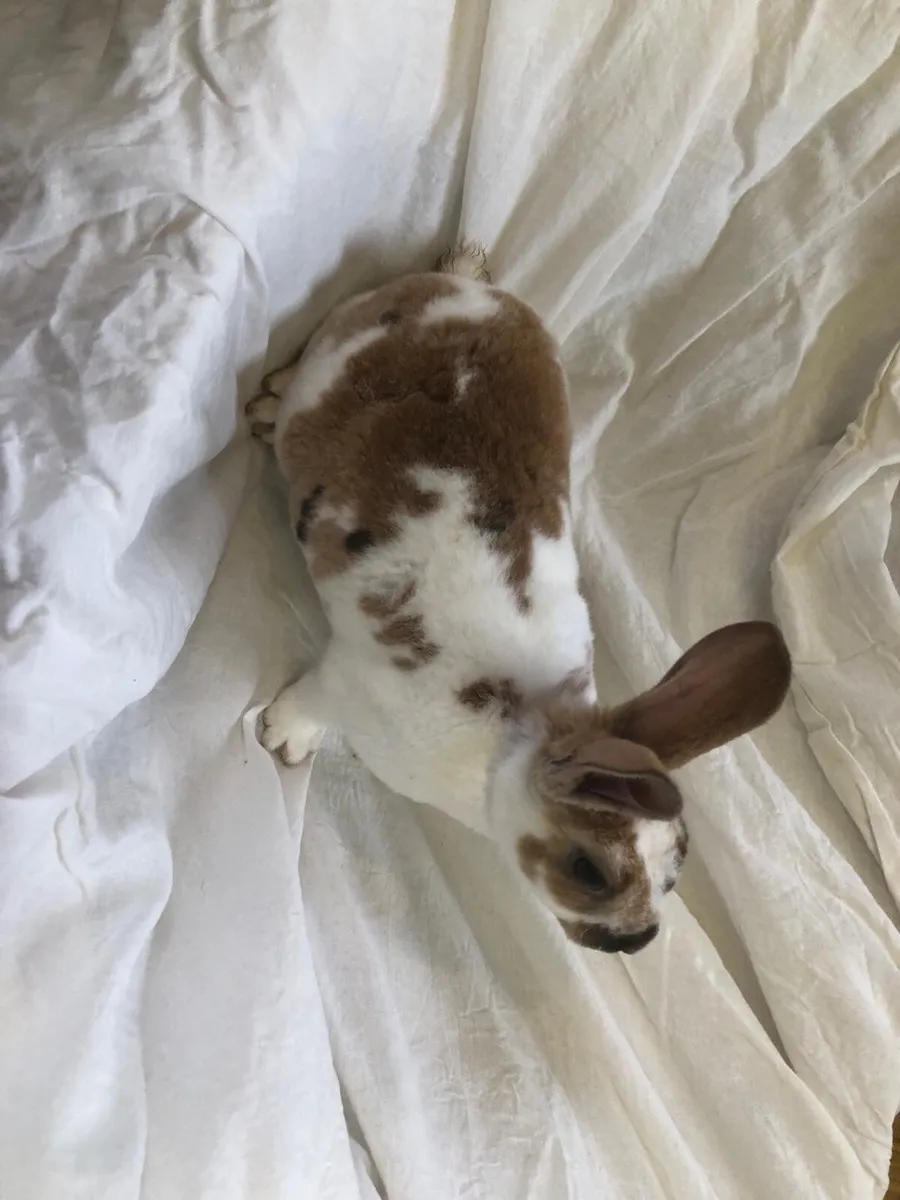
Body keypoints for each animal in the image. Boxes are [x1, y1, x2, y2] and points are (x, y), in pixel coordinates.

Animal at [246, 243, 791, 954]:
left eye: (676, 873)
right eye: (588, 870)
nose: (635, 942)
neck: (511, 740)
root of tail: (471, 294)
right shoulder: (345, 682)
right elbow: (308, 703)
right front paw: (282, 741)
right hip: (327, 363)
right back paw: (263, 408)